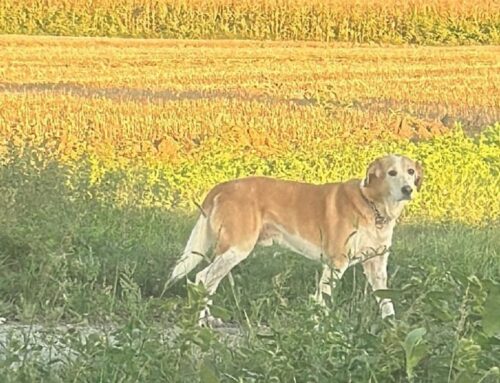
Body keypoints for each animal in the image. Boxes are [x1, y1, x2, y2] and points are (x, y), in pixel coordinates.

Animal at [167, 155, 422, 328]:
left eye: (410, 171)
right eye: (391, 173)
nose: (408, 189)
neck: (373, 206)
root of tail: (222, 186)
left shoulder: (376, 267)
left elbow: (386, 302)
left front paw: (392, 330)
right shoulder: (336, 263)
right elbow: (322, 301)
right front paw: (318, 331)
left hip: (229, 252)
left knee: (210, 282)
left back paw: (209, 320)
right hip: (237, 248)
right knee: (203, 277)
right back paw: (198, 323)